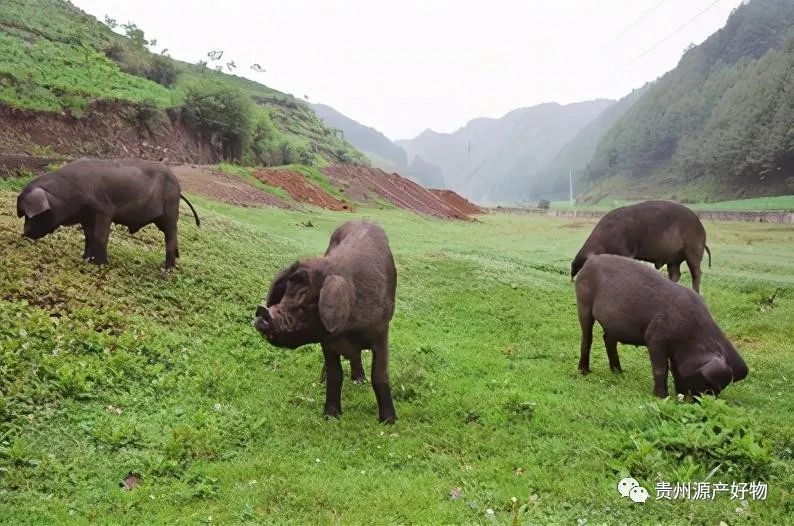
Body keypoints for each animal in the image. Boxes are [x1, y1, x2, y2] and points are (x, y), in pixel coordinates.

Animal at [16, 158, 198, 268]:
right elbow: (88, 236)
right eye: (23, 214)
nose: (24, 233)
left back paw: (166, 269)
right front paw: (85, 259)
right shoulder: (86, 217)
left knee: (170, 235)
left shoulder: (104, 210)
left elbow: (100, 236)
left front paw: (101, 265)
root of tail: (179, 187)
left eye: (30, 214)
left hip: (170, 209)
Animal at [254, 222, 396, 424]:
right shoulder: (327, 342)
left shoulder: (381, 332)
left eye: (307, 305)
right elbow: (336, 375)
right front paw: (330, 416)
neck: (347, 331)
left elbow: (380, 376)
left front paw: (389, 421)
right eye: (284, 296)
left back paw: (359, 381)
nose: (262, 311)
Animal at [568, 201, 712, 292]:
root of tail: (702, 228)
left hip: (693, 249)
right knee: (676, 274)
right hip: (673, 258)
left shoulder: (626, 250)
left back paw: (696, 291)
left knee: (696, 272)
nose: (573, 281)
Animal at [572, 256, 744, 400]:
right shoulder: (655, 337)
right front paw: (662, 397)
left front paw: (680, 395)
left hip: (612, 323)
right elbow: (661, 368)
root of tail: (589, 262)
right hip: (583, 303)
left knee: (608, 339)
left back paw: (618, 372)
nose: (701, 401)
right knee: (587, 336)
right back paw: (584, 372)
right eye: (708, 384)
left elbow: (676, 369)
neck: (691, 336)